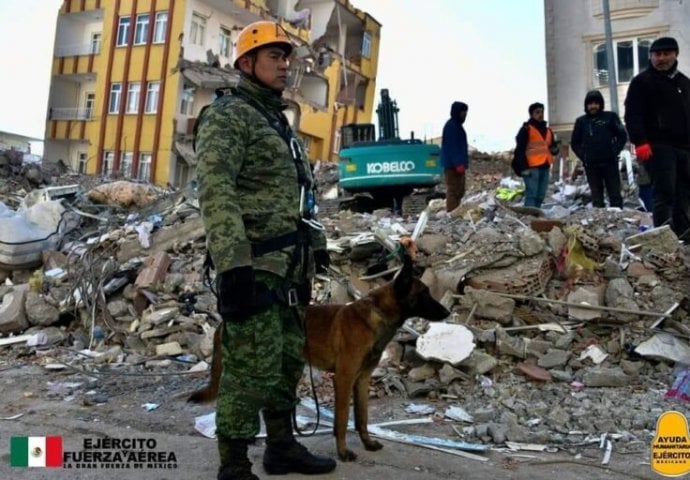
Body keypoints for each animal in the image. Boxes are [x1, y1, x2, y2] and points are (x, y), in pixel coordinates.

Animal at [188, 256, 448, 464]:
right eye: (424, 293)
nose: (446, 312)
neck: (377, 314)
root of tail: (223, 322)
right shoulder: (343, 378)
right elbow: (342, 420)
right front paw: (343, 452)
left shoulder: (362, 379)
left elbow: (362, 417)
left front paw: (367, 443)